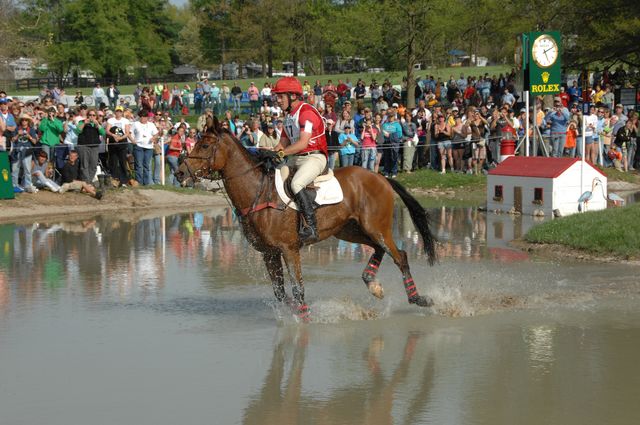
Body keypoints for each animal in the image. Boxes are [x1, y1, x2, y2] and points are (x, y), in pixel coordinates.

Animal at [175, 116, 436, 318]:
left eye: (205, 146)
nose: (179, 173)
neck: (257, 191)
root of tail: (381, 177)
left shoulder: (289, 249)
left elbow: (297, 289)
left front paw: (304, 321)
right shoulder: (269, 253)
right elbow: (281, 292)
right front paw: (294, 312)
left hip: (376, 227)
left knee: (400, 256)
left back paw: (419, 299)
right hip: (351, 230)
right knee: (380, 249)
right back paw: (373, 285)